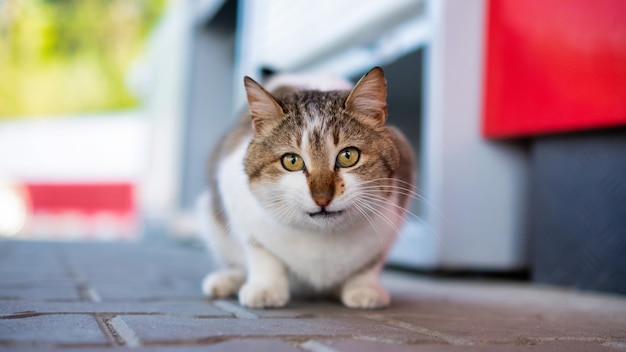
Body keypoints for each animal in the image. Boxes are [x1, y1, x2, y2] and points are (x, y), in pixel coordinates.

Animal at [196, 66, 414, 308]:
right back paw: (227, 279)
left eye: (348, 156)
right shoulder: (234, 195)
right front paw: (266, 288)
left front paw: (364, 288)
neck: (321, 238)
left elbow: (371, 262)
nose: (322, 197)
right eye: (291, 161)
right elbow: (261, 253)